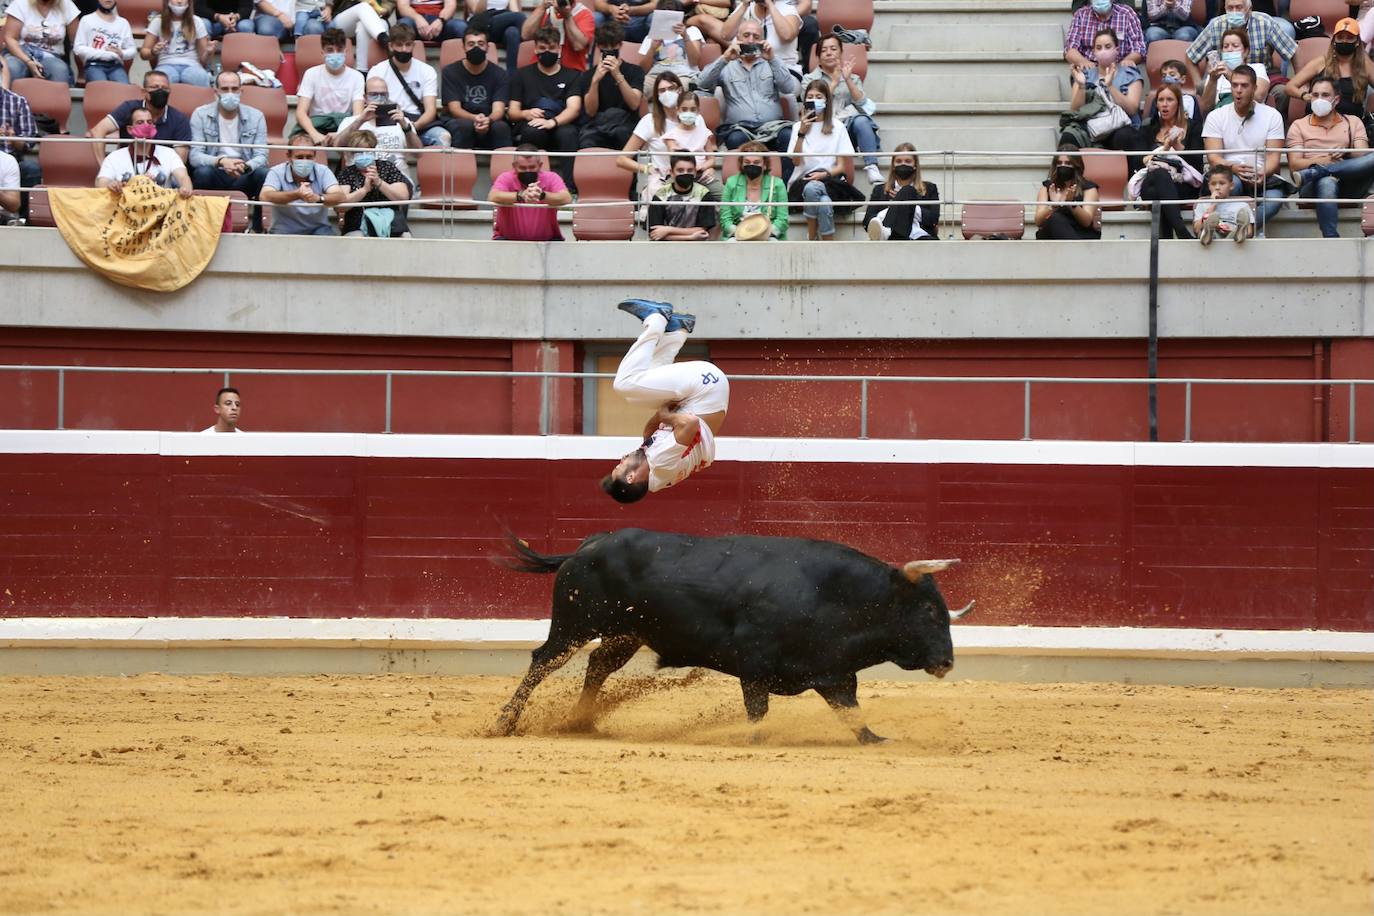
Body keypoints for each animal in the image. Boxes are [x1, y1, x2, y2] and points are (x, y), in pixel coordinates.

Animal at [494, 532, 978, 741]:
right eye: (929, 610)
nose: (947, 661)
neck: (834, 595)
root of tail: (584, 547)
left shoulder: (834, 673)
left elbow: (853, 715)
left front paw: (878, 740)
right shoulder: (755, 667)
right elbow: (758, 714)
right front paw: (753, 741)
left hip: (625, 633)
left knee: (597, 666)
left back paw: (581, 721)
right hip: (576, 625)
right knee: (542, 662)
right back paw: (505, 723)